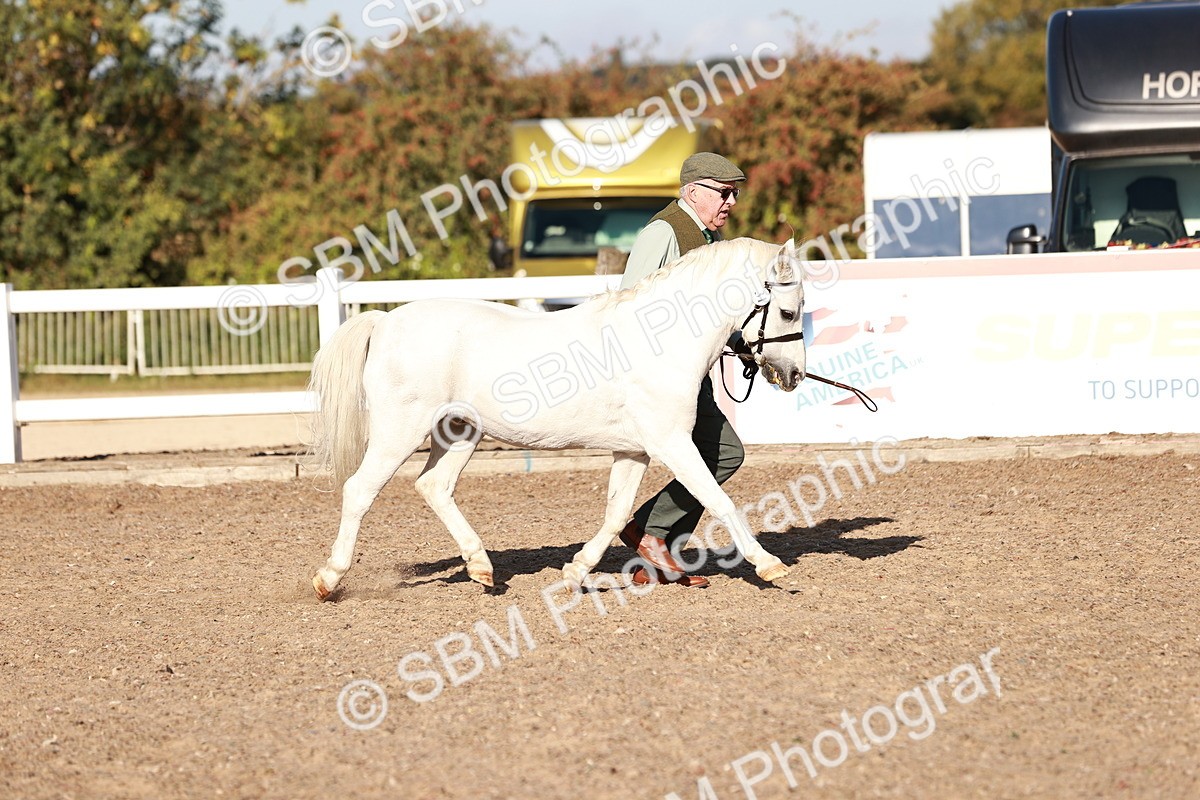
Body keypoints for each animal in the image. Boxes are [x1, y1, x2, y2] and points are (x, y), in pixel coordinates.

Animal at [308, 237, 807, 600]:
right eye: (788, 310)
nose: (794, 375)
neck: (659, 339)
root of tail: (384, 322)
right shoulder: (672, 443)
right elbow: (719, 500)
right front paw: (771, 567)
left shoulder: (634, 450)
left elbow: (616, 513)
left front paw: (574, 574)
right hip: (400, 431)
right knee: (360, 490)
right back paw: (329, 580)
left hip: (460, 433)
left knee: (434, 486)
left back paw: (481, 568)